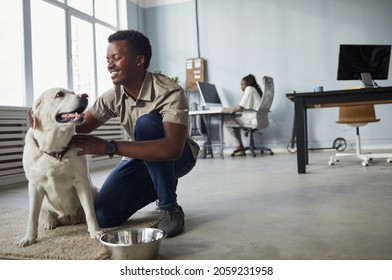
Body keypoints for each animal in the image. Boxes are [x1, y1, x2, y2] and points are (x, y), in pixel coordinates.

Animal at [18, 87, 102, 247]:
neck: (55, 149)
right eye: (59, 94)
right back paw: (50, 221)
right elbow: (32, 216)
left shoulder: (82, 182)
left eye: (73, 92)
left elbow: (90, 211)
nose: (85, 95)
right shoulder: (34, 185)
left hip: (94, 191)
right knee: (46, 213)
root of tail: (67, 218)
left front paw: (95, 231)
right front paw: (29, 237)